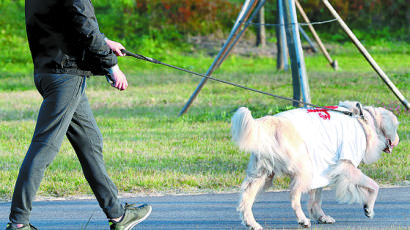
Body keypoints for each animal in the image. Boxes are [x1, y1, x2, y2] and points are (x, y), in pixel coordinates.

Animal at [232, 101, 398, 229]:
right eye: (396, 128)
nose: (398, 140)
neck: (362, 121)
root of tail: (272, 123)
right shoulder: (346, 165)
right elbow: (374, 185)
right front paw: (368, 208)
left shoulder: (322, 167)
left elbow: (316, 198)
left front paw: (321, 216)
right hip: (304, 167)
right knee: (293, 196)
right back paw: (302, 220)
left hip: (261, 174)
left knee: (246, 198)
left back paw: (251, 223)